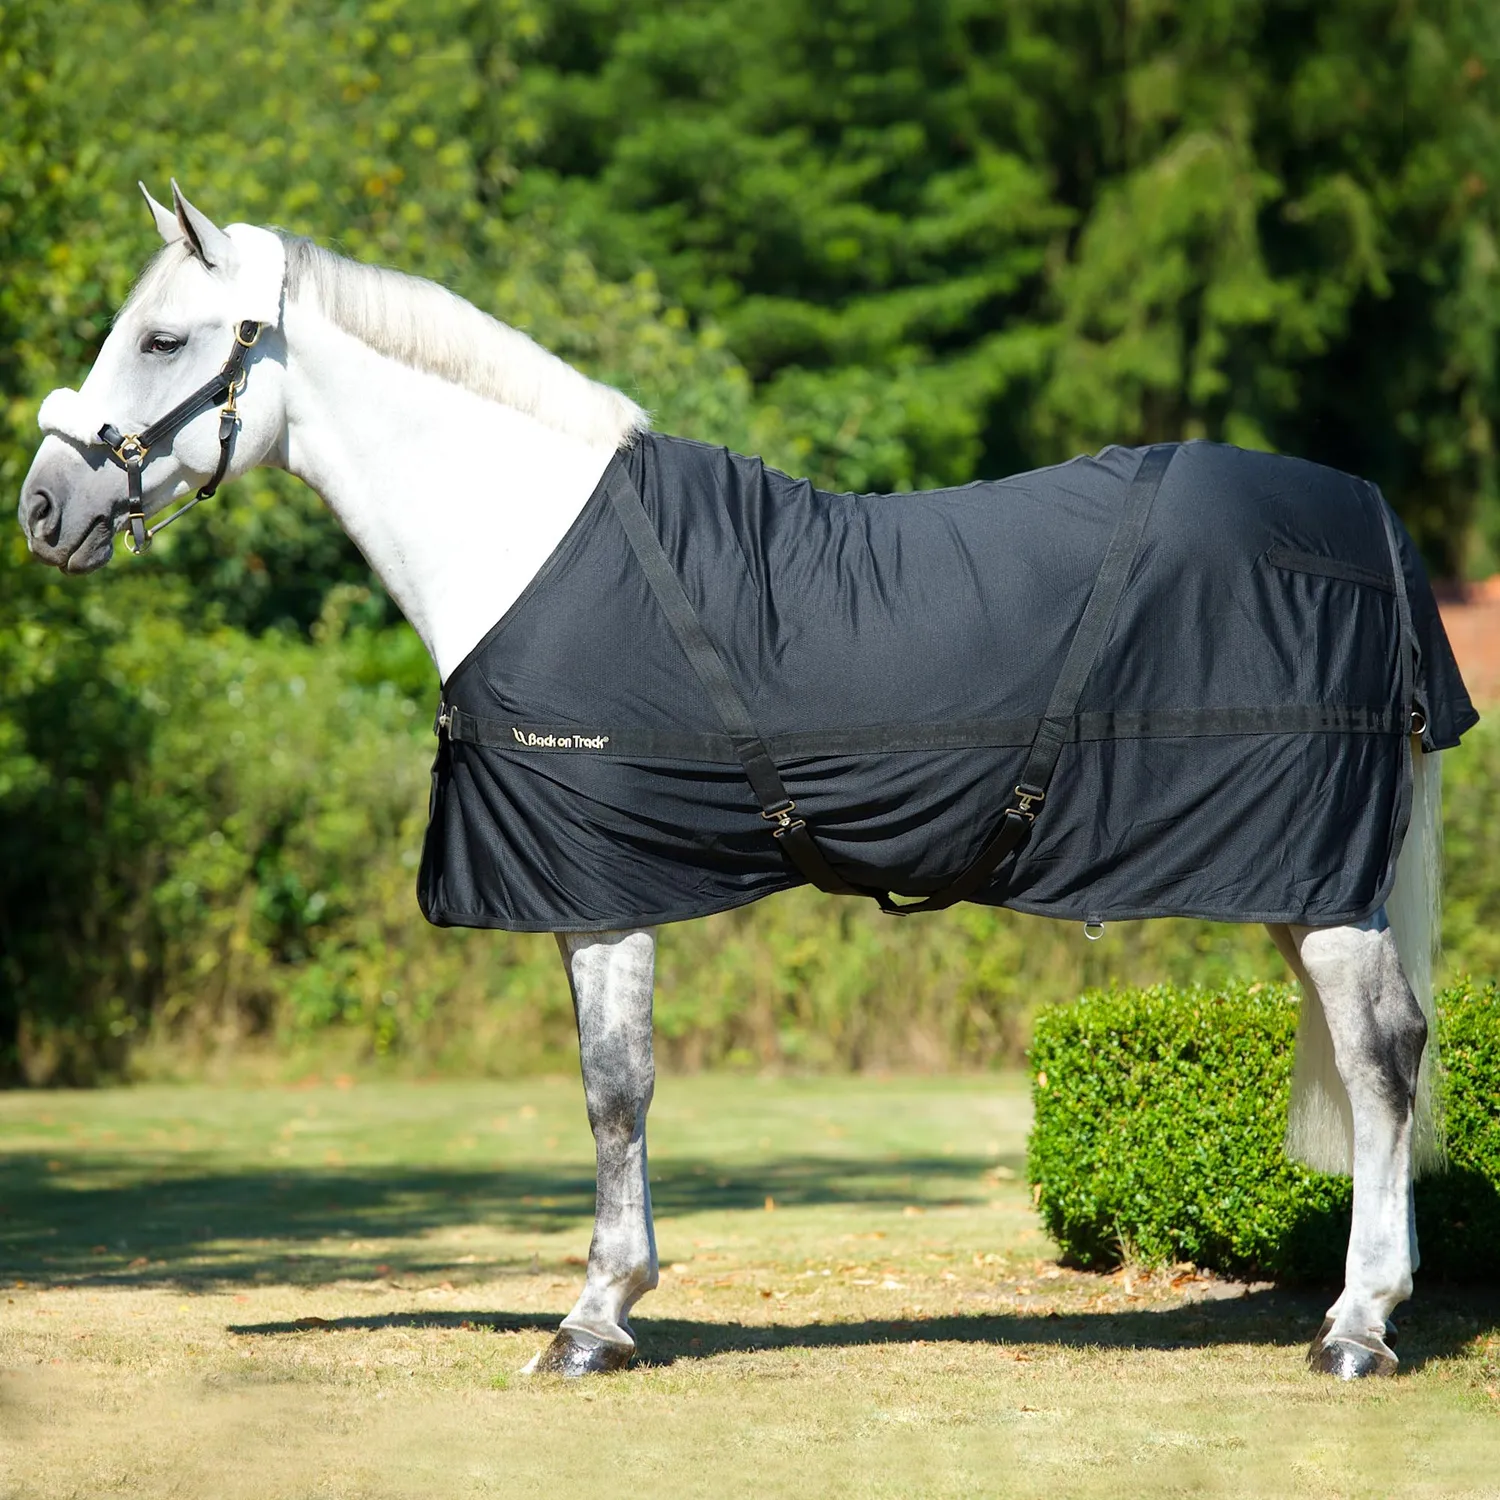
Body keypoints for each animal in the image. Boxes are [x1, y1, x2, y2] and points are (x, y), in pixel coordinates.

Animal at [18, 182, 1478, 1381]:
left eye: (163, 341)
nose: (42, 509)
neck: (530, 538)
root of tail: (1369, 516)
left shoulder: (603, 894)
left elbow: (614, 1091)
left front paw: (595, 1319)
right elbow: (620, 1090)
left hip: (1317, 885)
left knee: (1383, 1059)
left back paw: (1357, 1328)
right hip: (1303, 884)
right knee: (1377, 1061)